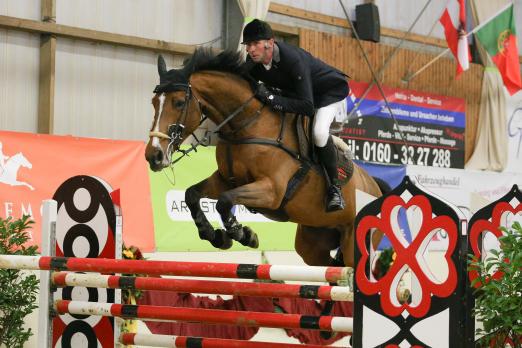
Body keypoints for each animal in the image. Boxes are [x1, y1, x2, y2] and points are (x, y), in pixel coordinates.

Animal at [144, 48, 384, 266]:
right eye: (154, 102)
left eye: (178, 103)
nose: (153, 155)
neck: (246, 126)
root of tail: (376, 187)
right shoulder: (225, 180)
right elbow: (192, 195)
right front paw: (216, 237)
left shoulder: (271, 190)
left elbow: (225, 201)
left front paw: (243, 234)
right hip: (313, 241)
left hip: (354, 242)